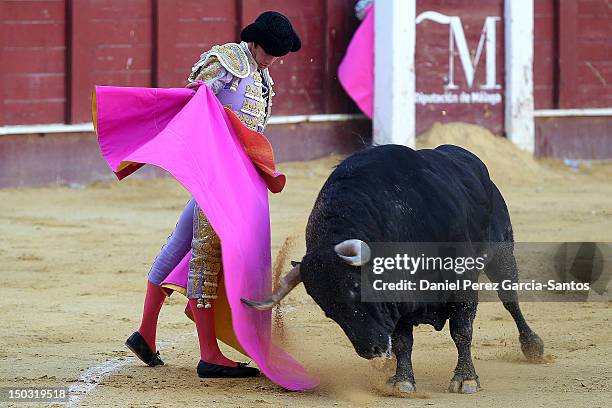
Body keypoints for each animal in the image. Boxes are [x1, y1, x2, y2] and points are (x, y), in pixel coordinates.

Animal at [241, 145, 544, 394]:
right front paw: (402, 381)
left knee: (510, 299)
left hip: (502, 252)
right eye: (328, 311)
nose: (371, 350)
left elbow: (461, 330)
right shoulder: (398, 302)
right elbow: (402, 341)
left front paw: (465, 379)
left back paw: (533, 346)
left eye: (357, 290)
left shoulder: (462, 281)